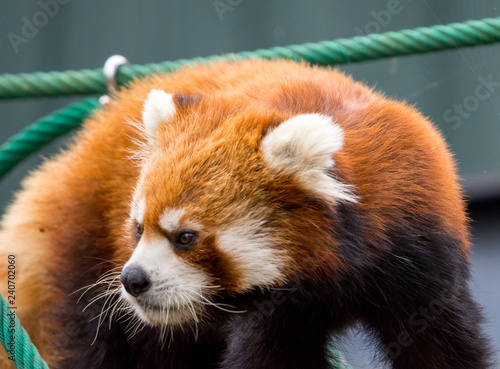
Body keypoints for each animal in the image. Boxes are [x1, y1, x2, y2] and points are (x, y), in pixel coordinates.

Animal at [0, 59, 492, 366]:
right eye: (138, 229)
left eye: (186, 237)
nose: (133, 280)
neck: (336, 277)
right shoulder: (276, 311)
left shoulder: (421, 256)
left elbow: (443, 348)